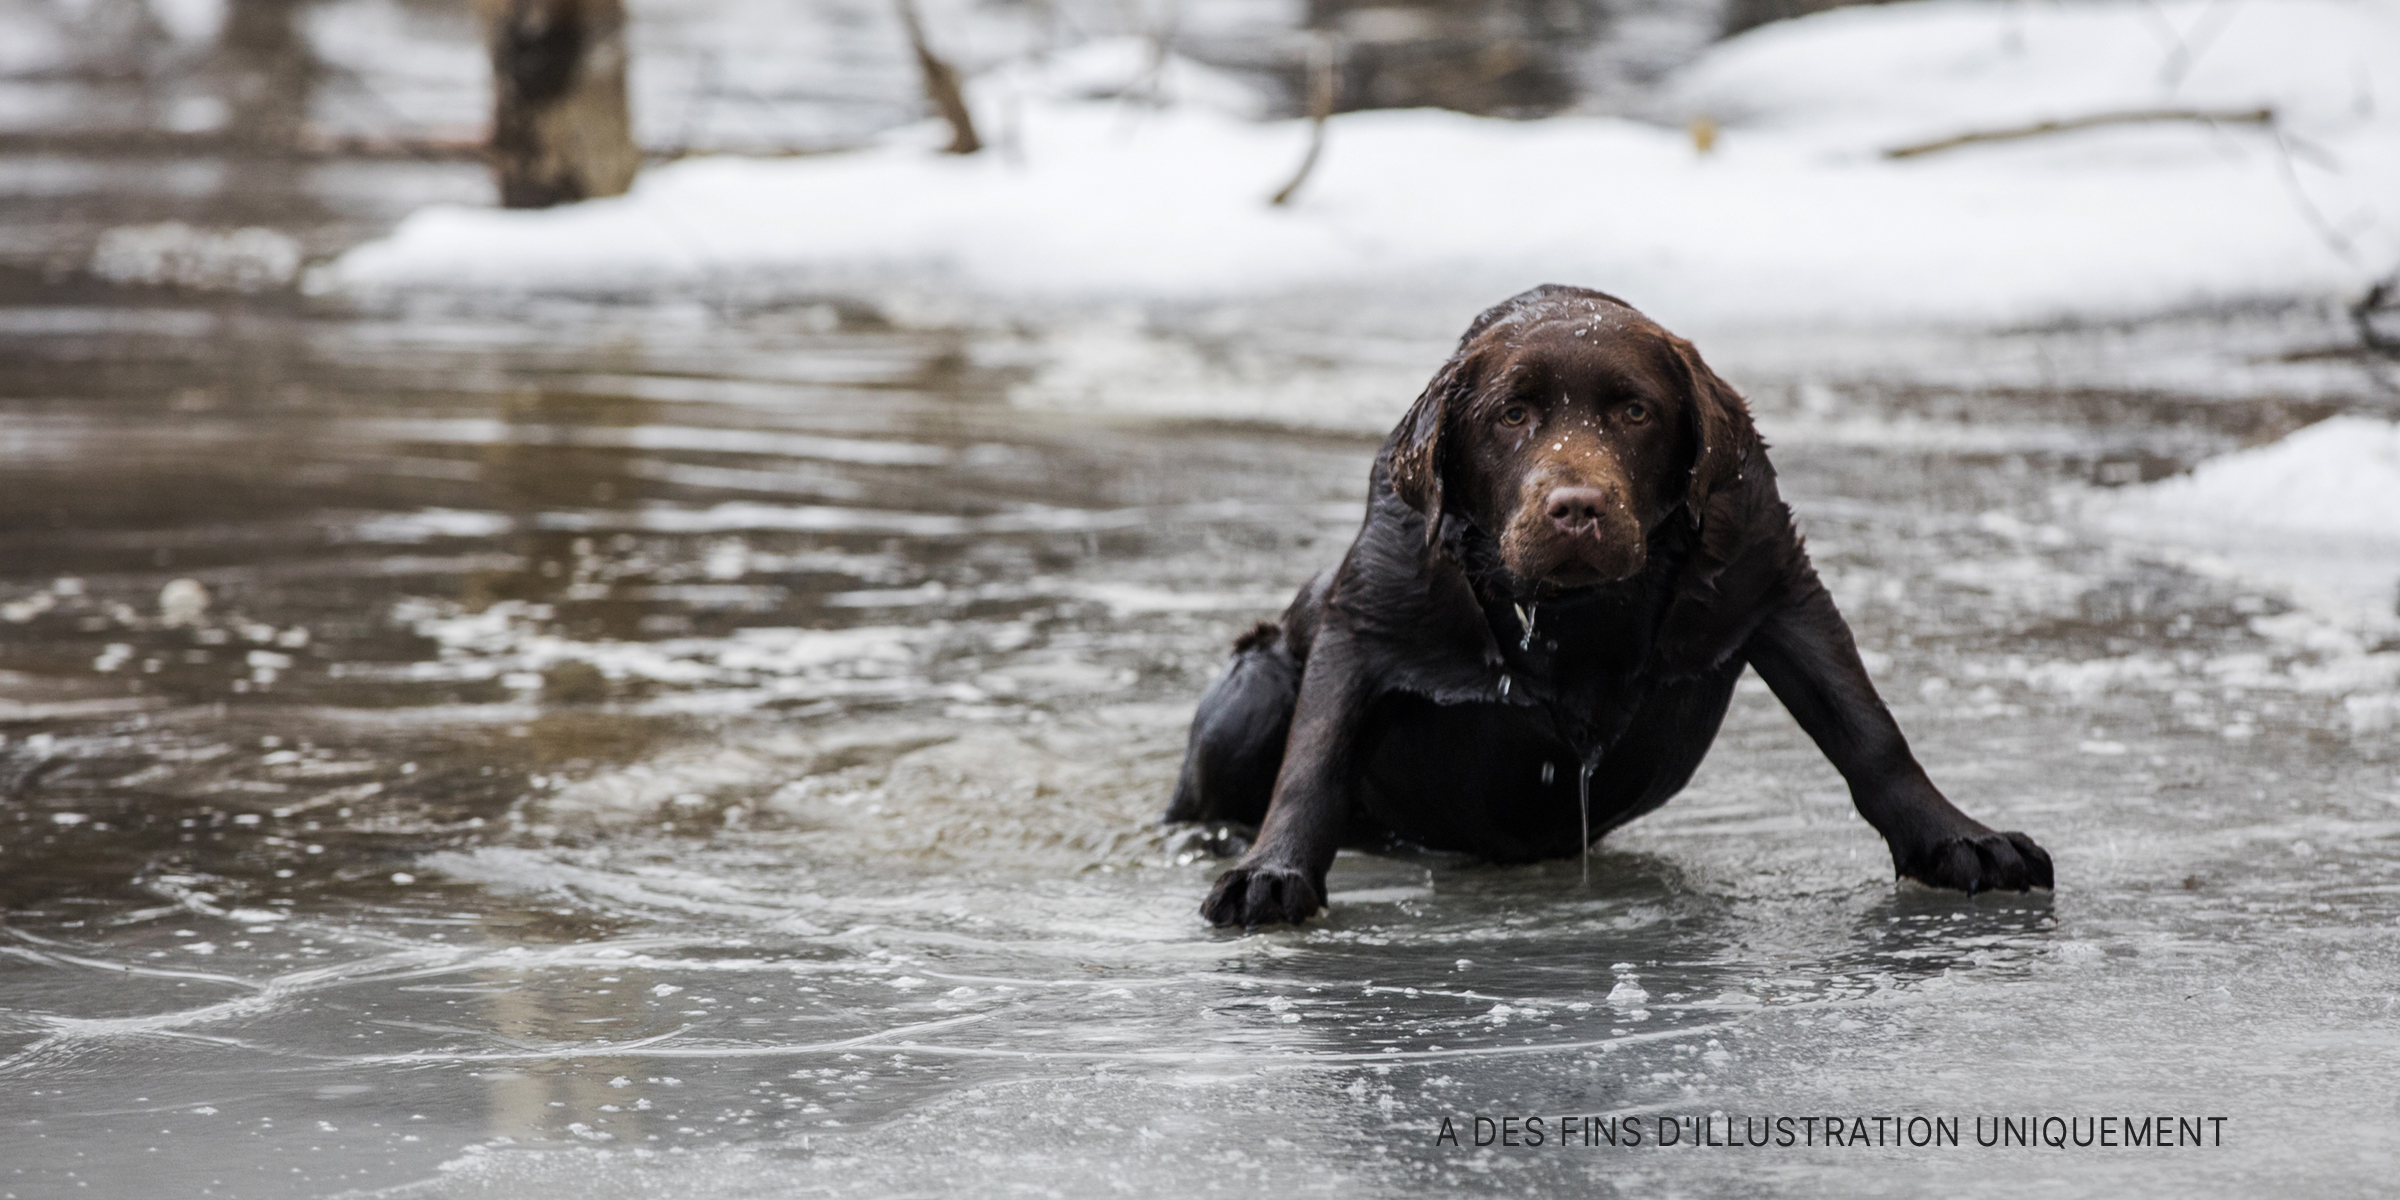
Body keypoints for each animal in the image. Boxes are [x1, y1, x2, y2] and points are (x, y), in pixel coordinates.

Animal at [1171, 283, 2054, 926]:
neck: (1578, 612)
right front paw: (1272, 873)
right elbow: (1314, 758)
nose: (1576, 508)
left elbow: (1869, 732)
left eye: (1635, 411)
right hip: (1254, 683)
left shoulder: (1776, 579)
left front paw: (1958, 839)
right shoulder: (1366, 616)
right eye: (1512, 414)